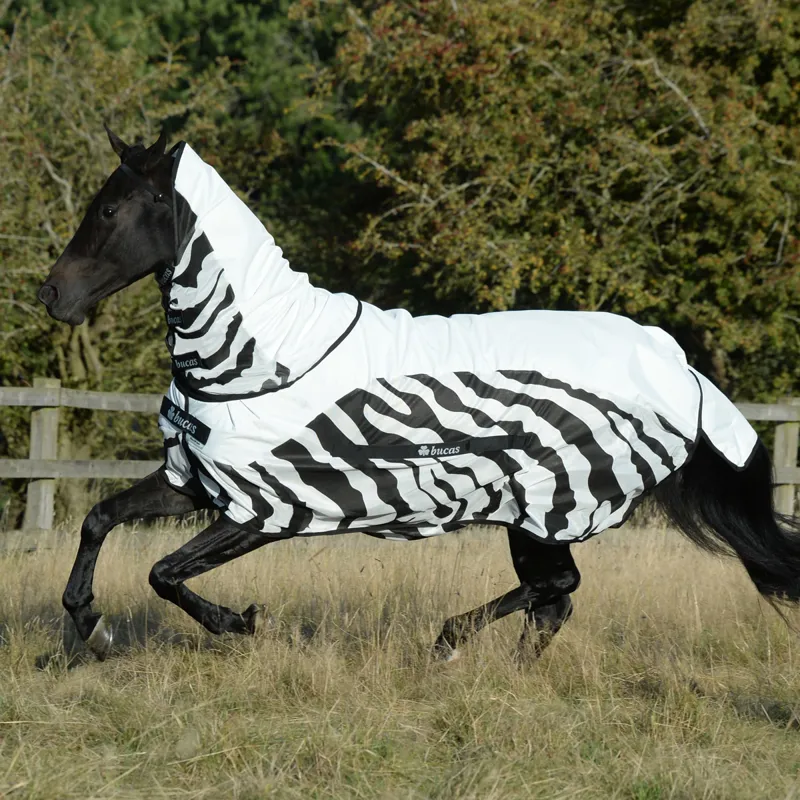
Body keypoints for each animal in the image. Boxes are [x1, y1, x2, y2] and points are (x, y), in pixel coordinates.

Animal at [37, 128, 800, 662]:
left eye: (110, 208)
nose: (51, 295)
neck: (260, 357)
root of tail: (680, 370)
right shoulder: (193, 483)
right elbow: (100, 521)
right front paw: (91, 627)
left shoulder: (269, 509)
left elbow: (164, 572)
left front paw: (239, 623)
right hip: (534, 518)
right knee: (554, 603)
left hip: (541, 508)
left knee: (556, 590)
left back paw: (449, 642)